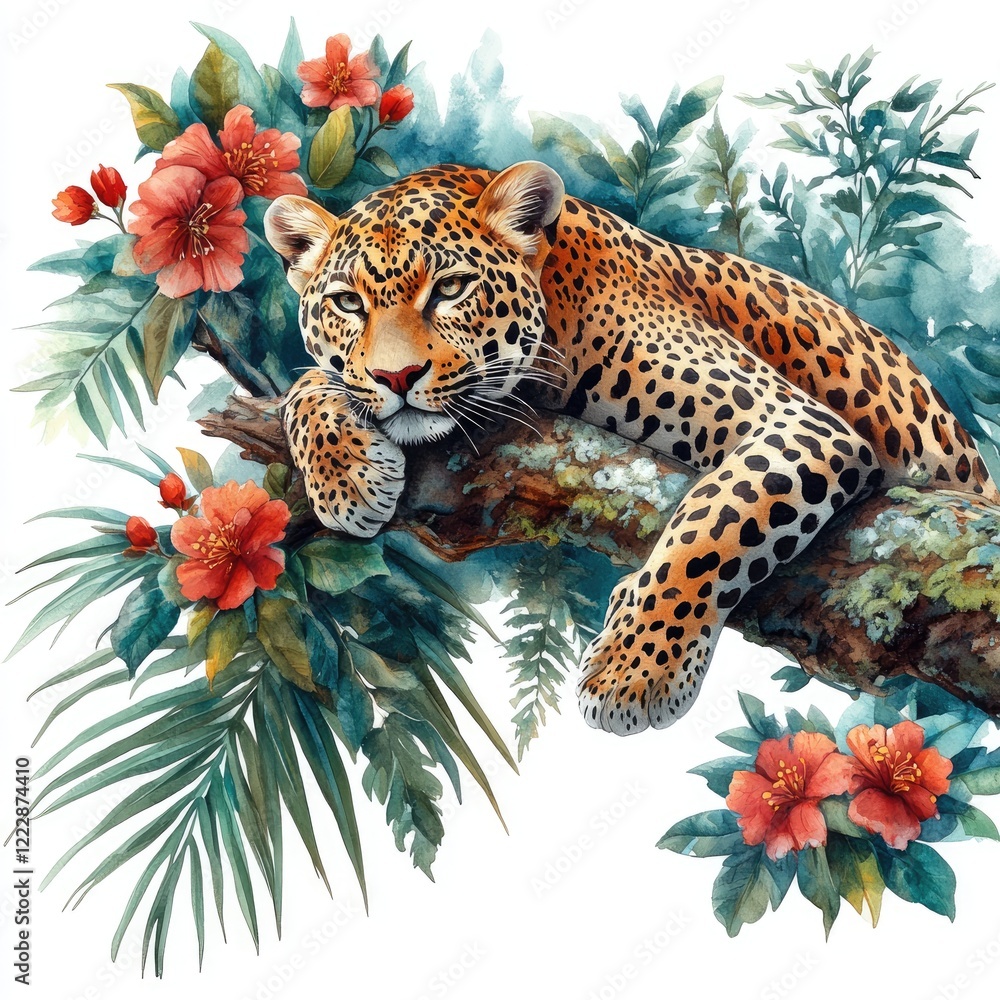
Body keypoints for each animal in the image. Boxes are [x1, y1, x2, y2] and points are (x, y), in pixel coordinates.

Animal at [264, 160, 998, 737]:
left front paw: (633, 671)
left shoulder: (796, 421)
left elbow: (714, 524)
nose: (397, 377)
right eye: (347, 303)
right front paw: (347, 474)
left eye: (449, 289)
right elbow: (307, 385)